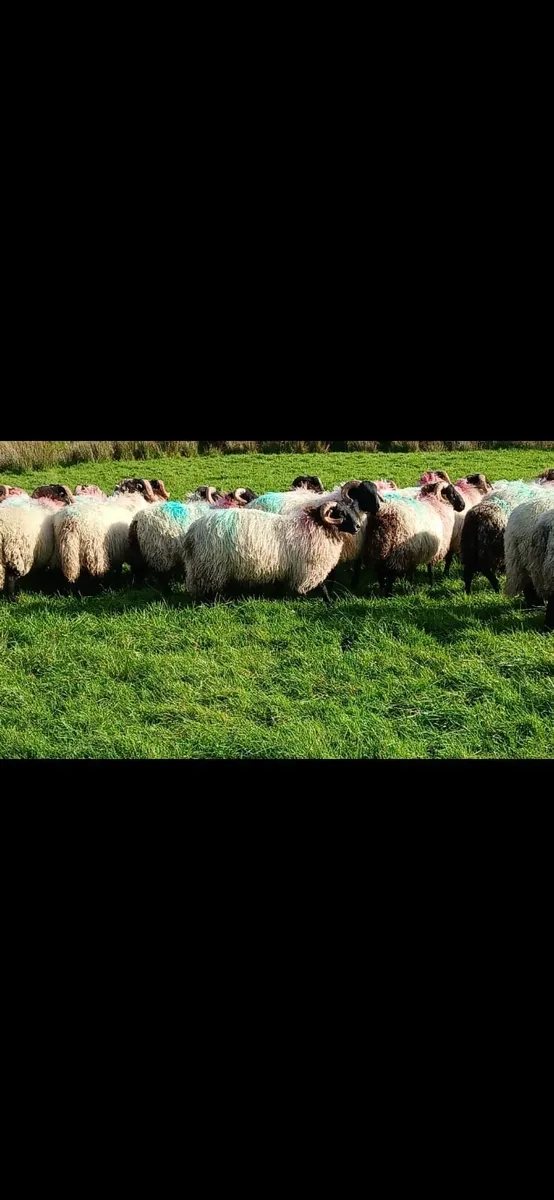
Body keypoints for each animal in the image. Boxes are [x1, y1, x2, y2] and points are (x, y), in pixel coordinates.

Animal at [182, 500, 362, 604]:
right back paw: (214, 603)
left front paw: (278, 596)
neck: (318, 526)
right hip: (211, 566)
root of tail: (191, 533)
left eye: (351, 511)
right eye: (341, 513)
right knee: (209, 590)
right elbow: (322, 585)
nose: (358, 527)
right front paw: (329, 602)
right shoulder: (309, 567)